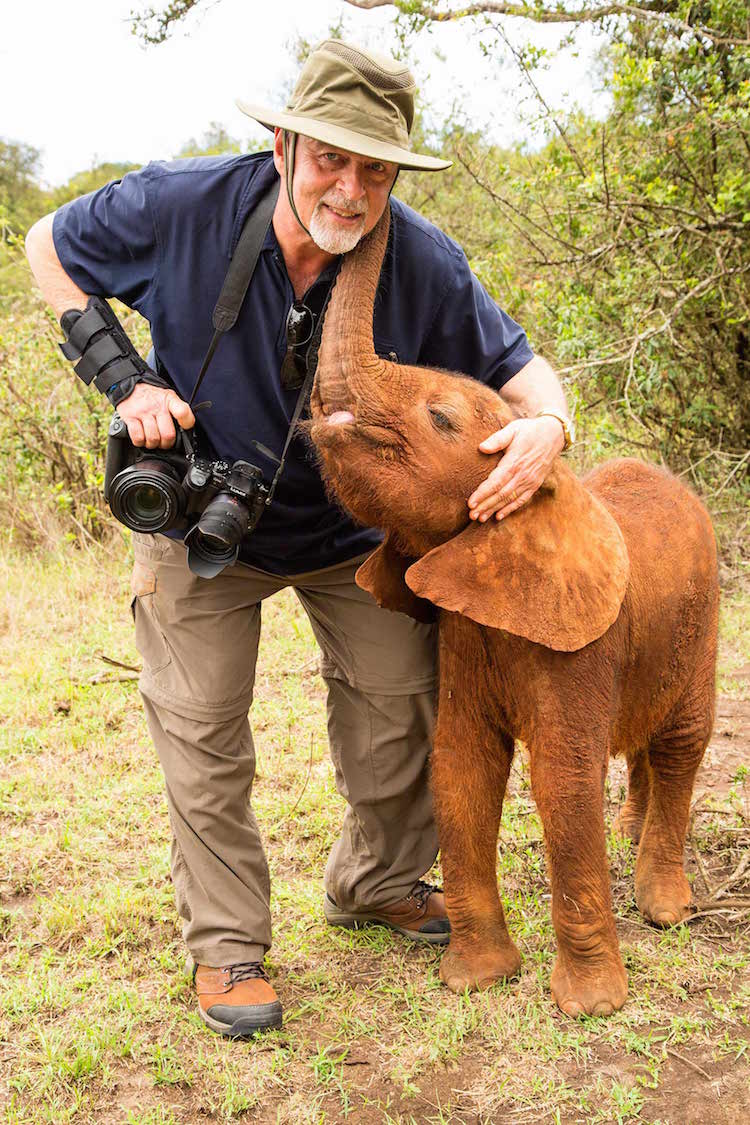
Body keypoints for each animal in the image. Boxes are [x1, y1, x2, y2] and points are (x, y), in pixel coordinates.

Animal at [308, 207, 719, 1017]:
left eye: (439, 418)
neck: (545, 490)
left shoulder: (581, 647)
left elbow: (561, 780)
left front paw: (590, 1006)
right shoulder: (466, 637)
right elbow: (458, 769)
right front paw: (475, 979)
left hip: (708, 614)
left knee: (683, 741)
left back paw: (664, 905)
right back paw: (629, 834)